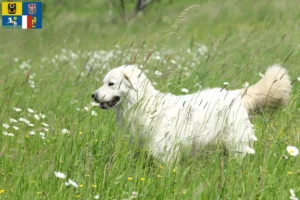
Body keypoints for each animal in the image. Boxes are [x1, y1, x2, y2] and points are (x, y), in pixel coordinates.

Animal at [91, 65, 290, 162]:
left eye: (111, 83)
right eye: (103, 82)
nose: (93, 95)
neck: (145, 104)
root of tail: (236, 94)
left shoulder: (165, 152)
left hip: (236, 144)